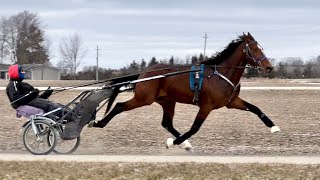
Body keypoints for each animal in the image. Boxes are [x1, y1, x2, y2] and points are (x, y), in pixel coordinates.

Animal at [89, 32, 280, 150]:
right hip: (144, 98)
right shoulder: (206, 106)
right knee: (119, 106)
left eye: (261, 48)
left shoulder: (232, 102)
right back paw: (97, 123)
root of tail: (144, 73)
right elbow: (195, 127)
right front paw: (174, 142)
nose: (268, 67)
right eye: (254, 49)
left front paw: (274, 127)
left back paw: (185, 143)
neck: (221, 74)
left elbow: (256, 109)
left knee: (167, 123)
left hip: (167, 101)